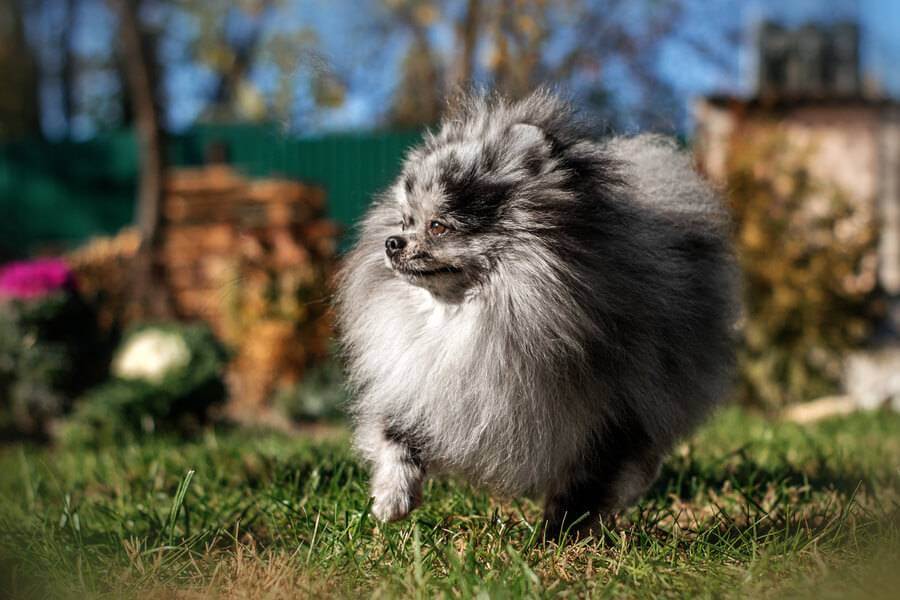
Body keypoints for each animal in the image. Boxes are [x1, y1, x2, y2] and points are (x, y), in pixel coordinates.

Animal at [334, 90, 736, 536]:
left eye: (438, 226)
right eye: (405, 221)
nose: (391, 242)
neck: (474, 318)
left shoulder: (616, 415)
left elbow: (587, 484)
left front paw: (557, 536)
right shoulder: (421, 383)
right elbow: (395, 437)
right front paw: (392, 498)